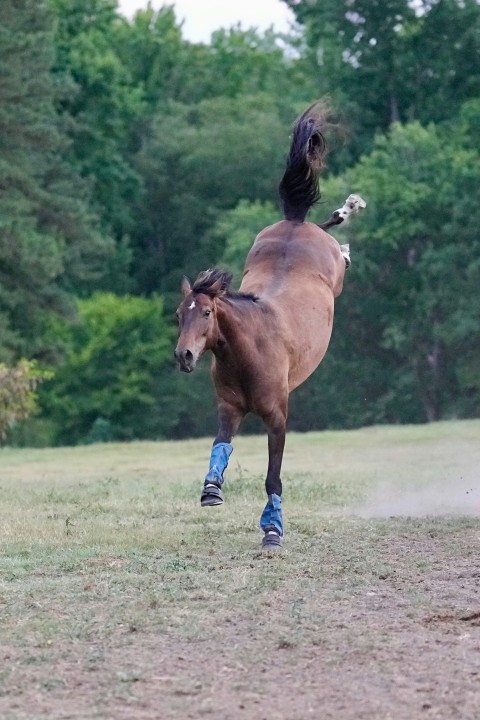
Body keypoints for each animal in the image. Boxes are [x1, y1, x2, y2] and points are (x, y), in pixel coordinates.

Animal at [174, 101, 366, 548]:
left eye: (205, 313)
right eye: (178, 314)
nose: (184, 355)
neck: (249, 349)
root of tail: (295, 222)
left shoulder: (277, 416)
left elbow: (272, 476)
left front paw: (273, 529)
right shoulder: (230, 409)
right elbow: (220, 446)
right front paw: (211, 490)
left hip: (335, 272)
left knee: (337, 242)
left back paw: (349, 213)